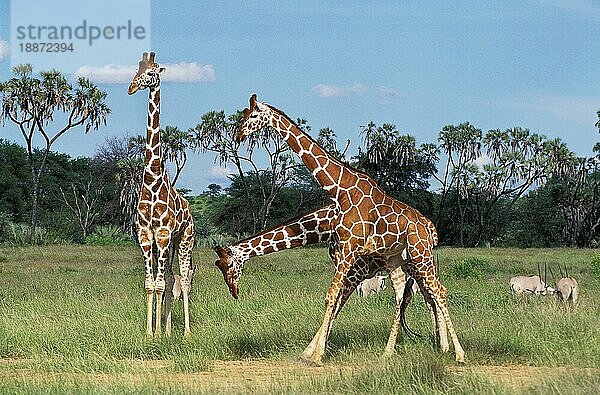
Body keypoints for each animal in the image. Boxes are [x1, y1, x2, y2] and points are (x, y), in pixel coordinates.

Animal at [236, 95, 464, 366]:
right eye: (243, 113)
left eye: (252, 116)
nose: (238, 134)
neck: (340, 189)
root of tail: (431, 229)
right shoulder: (347, 258)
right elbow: (336, 299)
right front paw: (312, 351)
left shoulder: (348, 253)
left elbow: (331, 296)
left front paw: (316, 355)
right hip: (399, 259)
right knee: (406, 295)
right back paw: (396, 351)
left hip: (421, 255)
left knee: (438, 292)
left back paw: (457, 353)